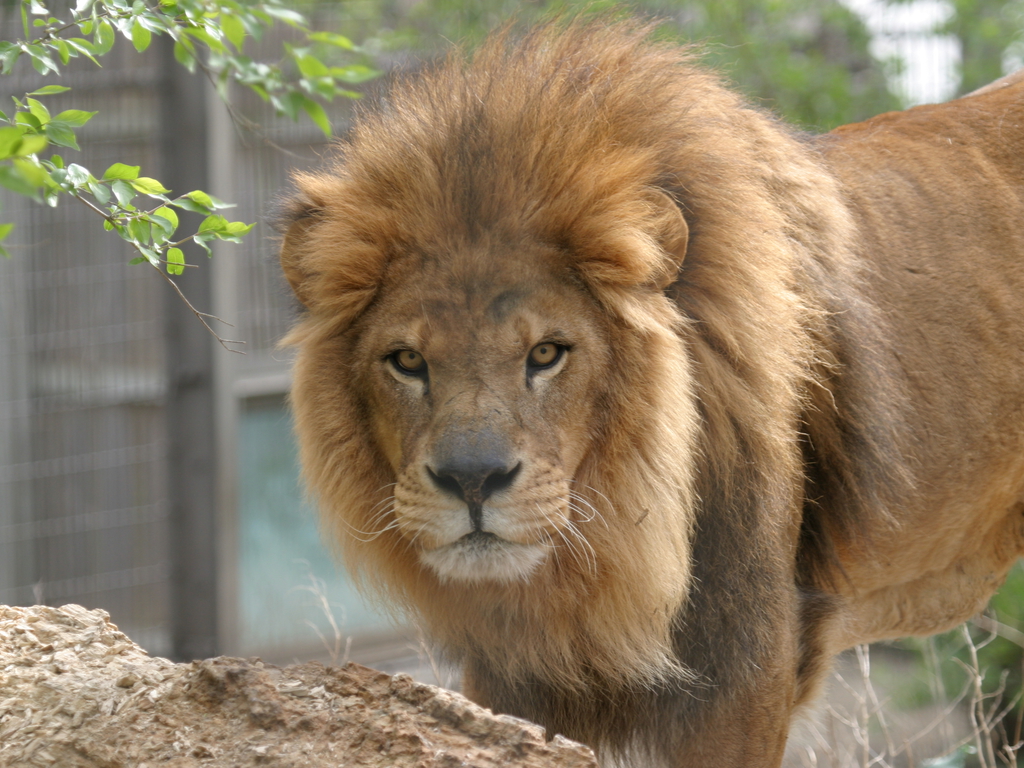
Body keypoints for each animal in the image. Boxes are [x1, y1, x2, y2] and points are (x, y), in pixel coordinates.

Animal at [276, 20, 1024, 768]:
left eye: (546, 353)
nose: (471, 481)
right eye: (406, 361)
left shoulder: (745, 662)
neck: (602, 558)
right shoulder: (510, 671)